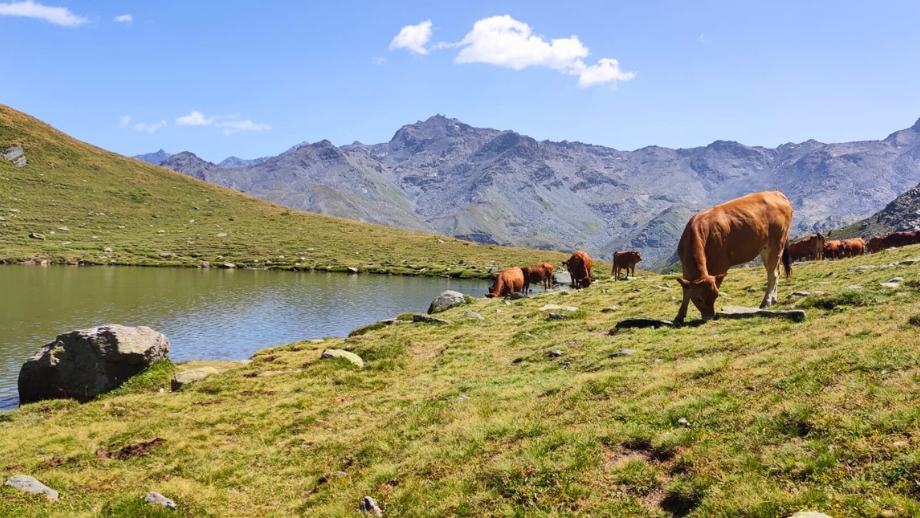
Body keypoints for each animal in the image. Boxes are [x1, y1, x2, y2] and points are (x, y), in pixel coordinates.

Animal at [672, 191, 796, 324]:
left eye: (716, 295)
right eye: (700, 299)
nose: (709, 317)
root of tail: (777, 193)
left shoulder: (721, 264)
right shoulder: (685, 267)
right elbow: (686, 290)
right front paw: (679, 316)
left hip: (777, 242)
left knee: (774, 273)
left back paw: (766, 301)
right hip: (765, 247)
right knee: (774, 271)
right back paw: (773, 299)